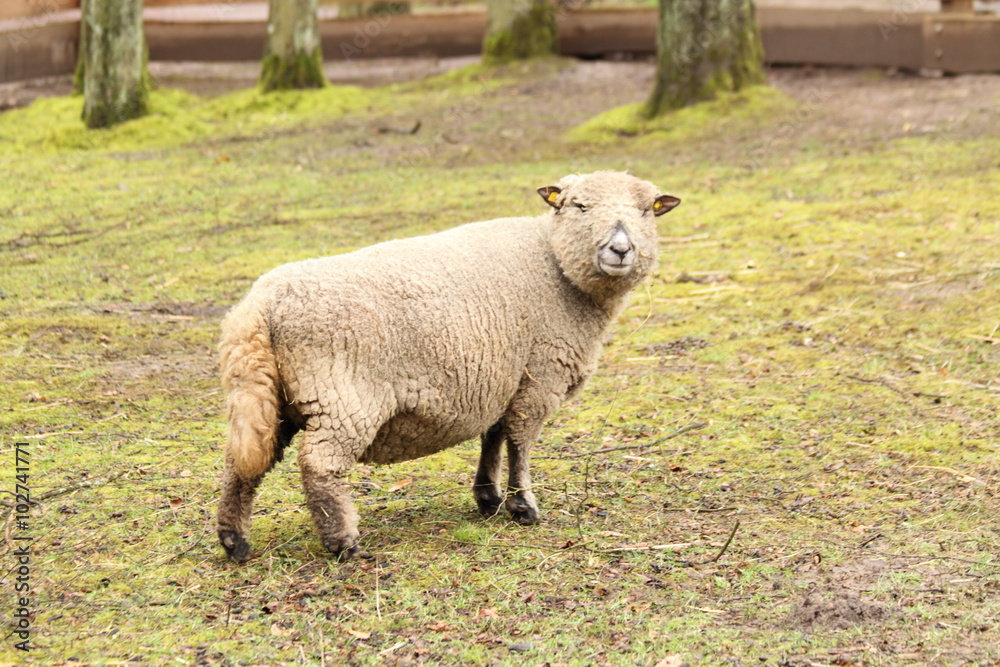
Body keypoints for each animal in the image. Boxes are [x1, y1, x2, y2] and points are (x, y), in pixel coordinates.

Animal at [216, 171, 681, 562]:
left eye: (646, 210)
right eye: (580, 206)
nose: (620, 249)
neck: (554, 263)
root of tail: (259, 307)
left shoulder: (502, 377)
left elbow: (494, 435)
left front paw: (489, 497)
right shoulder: (540, 374)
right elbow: (520, 441)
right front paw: (523, 506)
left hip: (270, 396)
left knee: (242, 463)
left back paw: (235, 541)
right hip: (341, 395)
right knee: (319, 466)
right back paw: (343, 542)